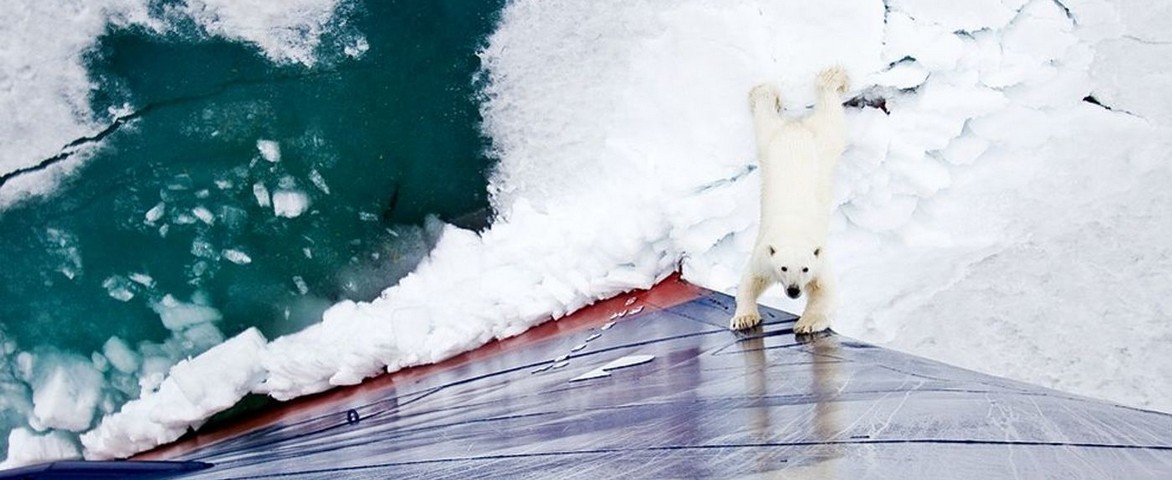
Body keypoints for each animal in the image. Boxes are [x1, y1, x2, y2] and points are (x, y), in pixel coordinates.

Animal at [726, 67, 848, 334]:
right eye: (783, 268)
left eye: (805, 268)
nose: (793, 291)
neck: (792, 231)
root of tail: (795, 129)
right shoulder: (764, 255)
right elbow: (750, 281)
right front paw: (744, 318)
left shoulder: (819, 261)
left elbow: (825, 292)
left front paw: (806, 324)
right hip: (770, 142)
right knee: (765, 119)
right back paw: (763, 93)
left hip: (821, 141)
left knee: (831, 116)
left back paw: (831, 78)